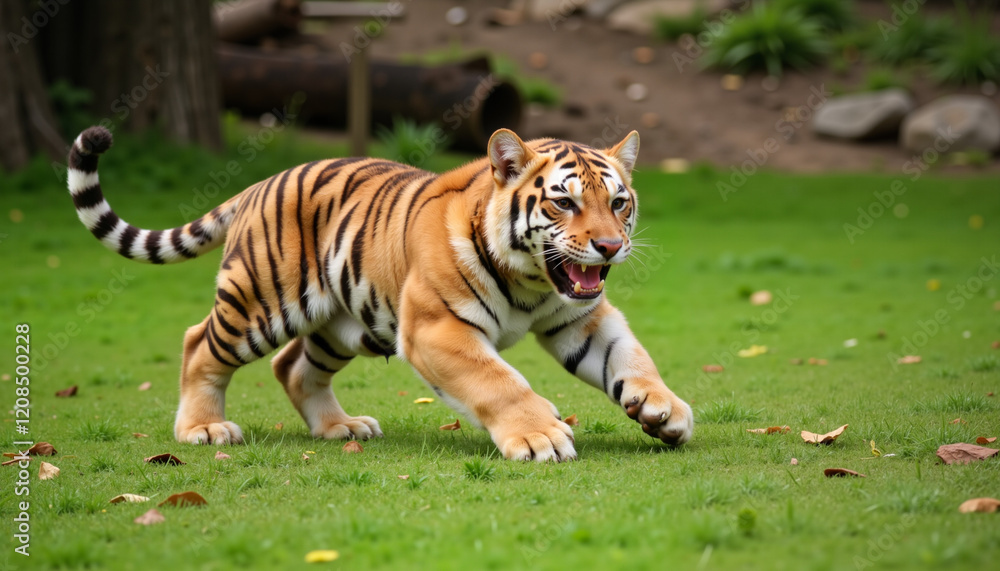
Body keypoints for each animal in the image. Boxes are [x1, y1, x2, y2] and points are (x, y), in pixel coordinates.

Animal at [66, 125, 693, 461]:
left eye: (618, 202)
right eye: (563, 202)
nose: (610, 246)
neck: (533, 281)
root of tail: (258, 183)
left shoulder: (580, 319)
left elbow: (630, 356)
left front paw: (664, 410)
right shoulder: (437, 330)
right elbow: (500, 382)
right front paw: (540, 437)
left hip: (344, 325)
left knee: (294, 367)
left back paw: (339, 428)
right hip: (258, 304)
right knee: (199, 343)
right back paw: (202, 429)